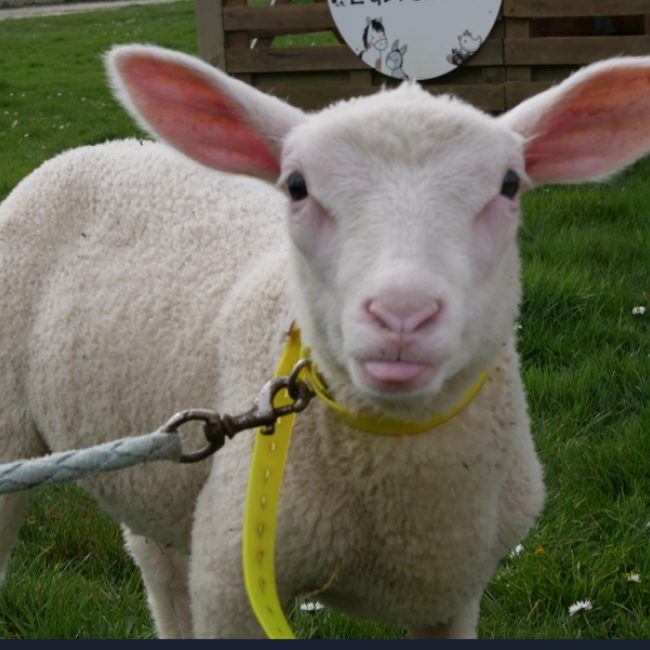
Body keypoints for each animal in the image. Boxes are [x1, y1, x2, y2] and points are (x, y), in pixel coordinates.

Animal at [2, 45, 650, 639]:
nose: (402, 315)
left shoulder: (452, 591)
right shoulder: (232, 577)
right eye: (296, 186)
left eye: (510, 184)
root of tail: (92, 149)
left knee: (156, 562)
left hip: (154, 475)